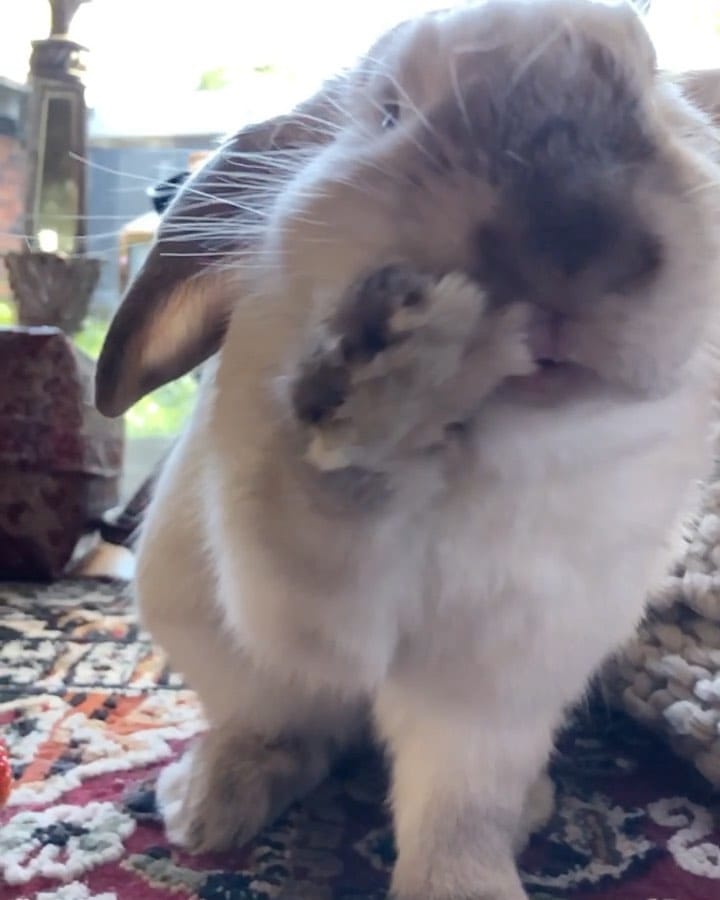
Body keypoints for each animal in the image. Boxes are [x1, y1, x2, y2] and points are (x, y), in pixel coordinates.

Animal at [95, 2, 720, 898]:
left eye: (653, 86)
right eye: (390, 113)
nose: (572, 242)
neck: (487, 461)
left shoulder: (500, 690)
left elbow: (461, 810)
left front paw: (471, 885)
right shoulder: (305, 601)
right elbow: (320, 528)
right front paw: (383, 392)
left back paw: (534, 807)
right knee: (282, 729)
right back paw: (208, 803)